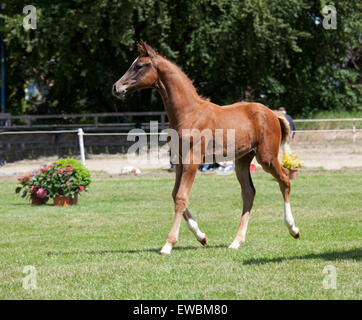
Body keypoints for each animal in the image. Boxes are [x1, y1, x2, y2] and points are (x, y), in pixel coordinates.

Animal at [112, 42, 300, 255]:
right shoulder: (179, 161)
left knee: (285, 179)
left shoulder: (192, 161)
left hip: (266, 157)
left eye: (139, 66)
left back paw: (293, 229)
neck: (188, 112)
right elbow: (175, 195)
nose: (116, 87)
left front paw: (168, 244)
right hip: (242, 159)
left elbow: (181, 198)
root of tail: (272, 114)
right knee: (249, 192)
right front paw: (201, 237)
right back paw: (236, 241)